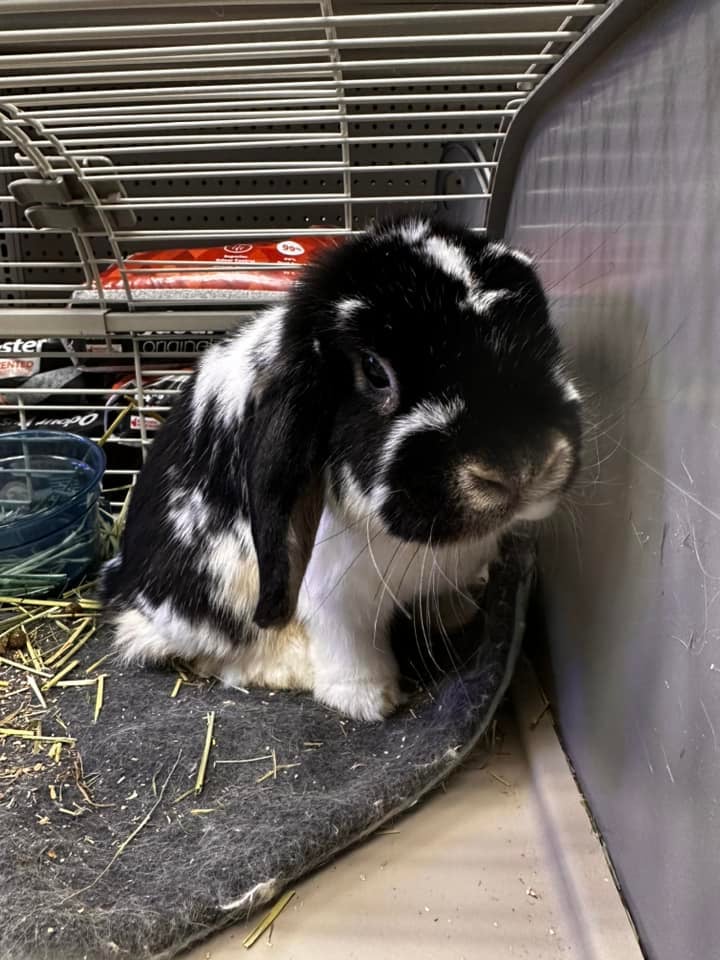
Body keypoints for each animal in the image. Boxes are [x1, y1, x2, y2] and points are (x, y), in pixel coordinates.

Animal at [101, 216, 582, 721]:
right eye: (374, 371)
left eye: (541, 336)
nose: (521, 465)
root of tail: (121, 581)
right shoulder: (334, 596)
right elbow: (350, 645)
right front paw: (369, 700)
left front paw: (459, 613)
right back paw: (289, 665)